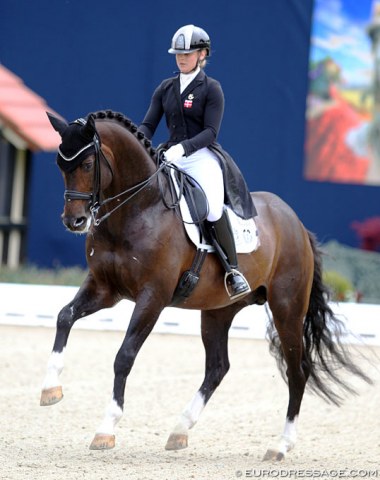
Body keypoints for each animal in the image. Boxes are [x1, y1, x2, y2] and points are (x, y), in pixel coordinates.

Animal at [42, 109, 372, 462]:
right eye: (60, 165)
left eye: (88, 164)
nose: (74, 221)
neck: (138, 208)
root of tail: (296, 223)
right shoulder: (105, 288)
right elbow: (64, 317)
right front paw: (50, 389)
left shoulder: (152, 297)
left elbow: (124, 355)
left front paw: (106, 429)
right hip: (218, 311)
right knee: (218, 367)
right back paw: (179, 430)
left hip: (287, 309)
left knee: (298, 372)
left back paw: (280, 445)